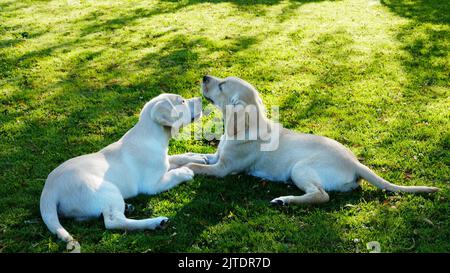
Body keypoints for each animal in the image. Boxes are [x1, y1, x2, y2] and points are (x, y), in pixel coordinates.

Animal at [40, 92, 206, 243]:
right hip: (107, 189)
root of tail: (49, 191)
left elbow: (177, 157)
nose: (200, 98)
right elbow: (173, 174)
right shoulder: (151, 185)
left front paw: (196, 157)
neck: (151, 136)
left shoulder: (164, 160)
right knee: (114, 222)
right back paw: (156, 222)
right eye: (182, 101)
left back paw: (128, 208)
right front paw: (185, 171)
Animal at [184, 75, 440, 205]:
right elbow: (195, 158)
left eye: (222, 85)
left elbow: (195, 166)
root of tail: (355, 163)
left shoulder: (223, 169)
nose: (204, 76)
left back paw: (285, 200)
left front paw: (186, 169)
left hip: (300, 168)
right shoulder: (216, 158)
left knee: (321, 195)